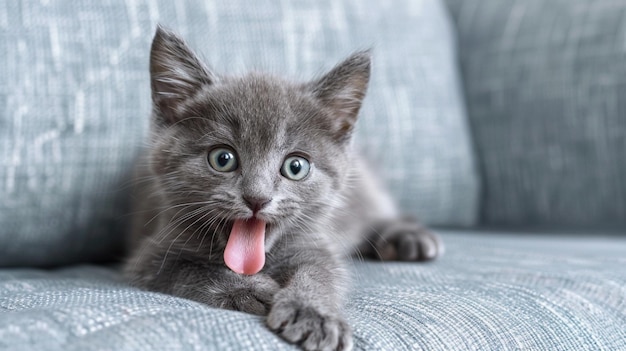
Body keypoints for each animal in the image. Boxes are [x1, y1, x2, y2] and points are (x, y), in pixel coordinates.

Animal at [124, 26, 442, 351]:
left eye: (296, 166)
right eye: (222, 158)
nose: (256, 198)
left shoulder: (314, 243)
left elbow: (321, 271)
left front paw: (312, 312)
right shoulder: (151, 255)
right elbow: (189, 269)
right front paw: (252, 291)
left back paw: (408, 238)